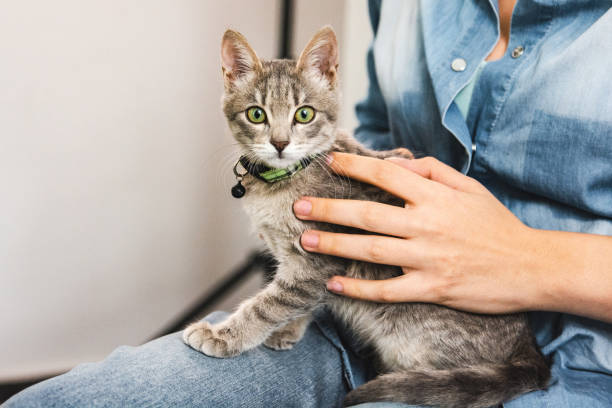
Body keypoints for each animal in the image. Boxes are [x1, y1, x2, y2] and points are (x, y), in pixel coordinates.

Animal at [184, 27, 552, 406]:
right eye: (256, 115)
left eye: (304, 114)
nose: (280, 143)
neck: (282, 183)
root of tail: (527, 344)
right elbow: (299, 301)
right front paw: (289, 328)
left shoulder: (318, 260)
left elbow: (271, 303)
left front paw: (224, 335)